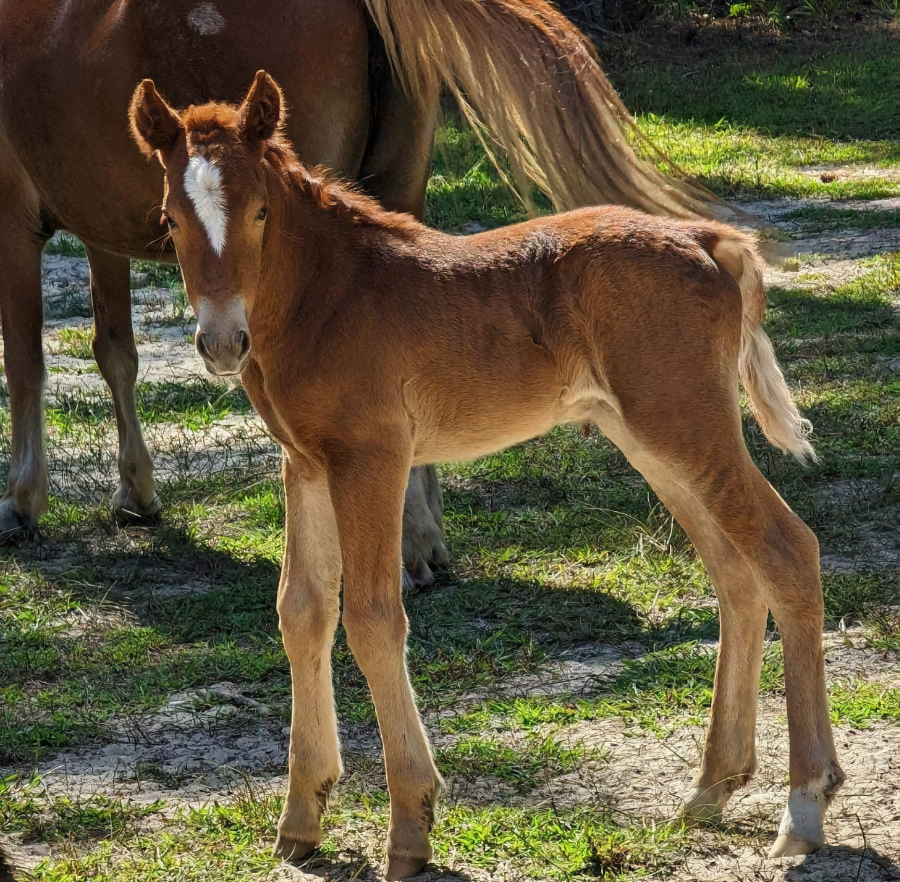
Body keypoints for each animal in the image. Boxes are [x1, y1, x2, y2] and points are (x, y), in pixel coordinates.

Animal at [0, 0, 716, 580]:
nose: (223, 343)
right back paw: (423, 537)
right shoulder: (101, 223)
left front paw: (24, 497)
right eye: (168, 220)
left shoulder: (16, 218)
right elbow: (114, 350)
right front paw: (136, 491)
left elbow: (26, 361)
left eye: (261, 213)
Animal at [132, 74, 844, 872]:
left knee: (787, 552)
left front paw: (410, 827)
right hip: (654, 442)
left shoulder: (371, 459)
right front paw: (302, 820)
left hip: (685, 427)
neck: (328, 296)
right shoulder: (306, 465)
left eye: (259, 210)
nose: (223, 342)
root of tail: (706, 240)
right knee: (735, 575)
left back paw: (804, 806)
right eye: (169, 219)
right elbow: (302, 612)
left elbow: (373, 617)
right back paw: (710, 789)